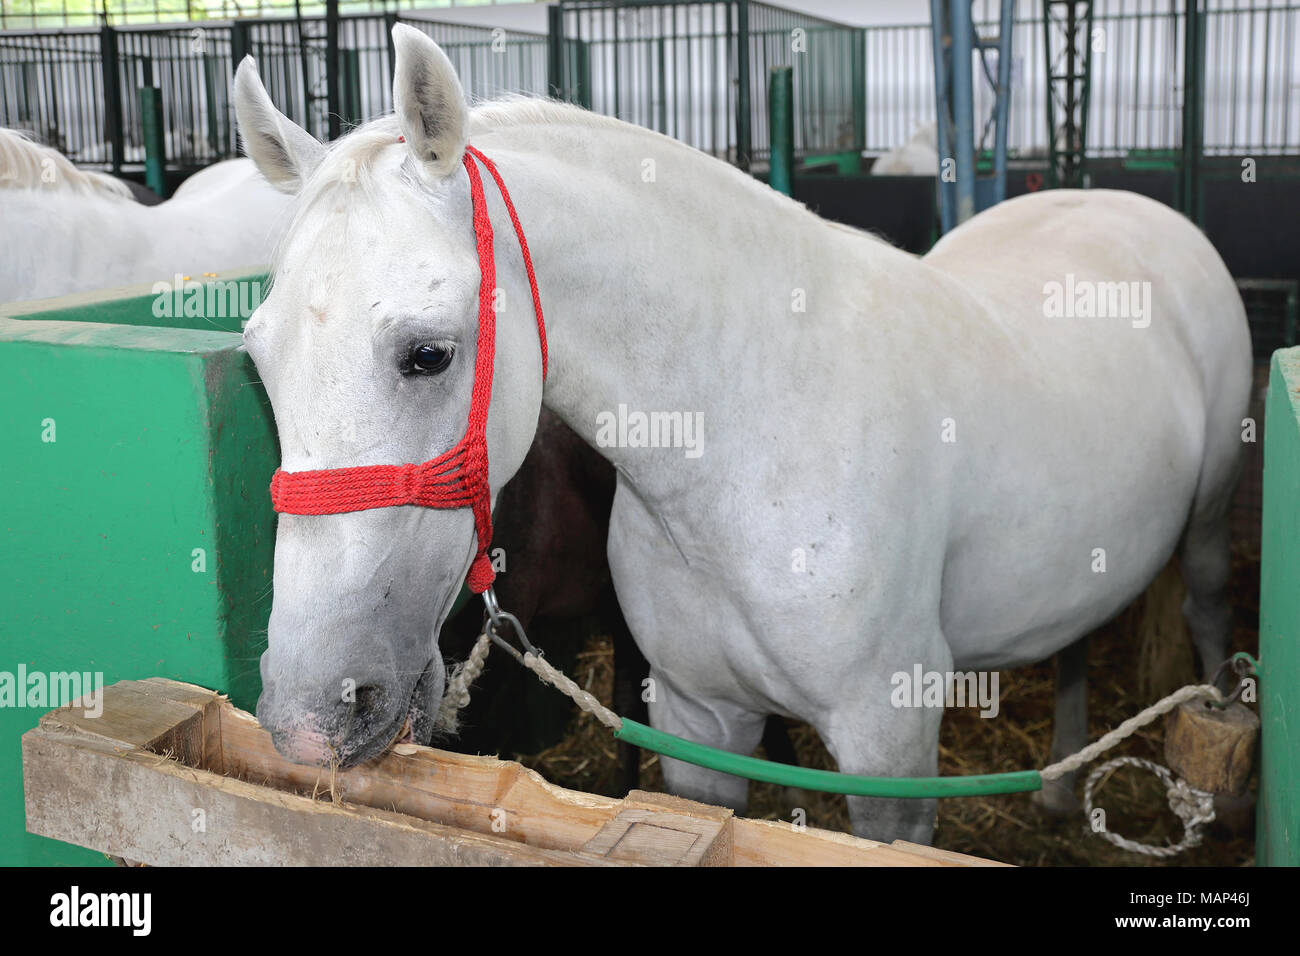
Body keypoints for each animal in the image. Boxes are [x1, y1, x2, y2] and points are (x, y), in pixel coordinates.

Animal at [234, 26, 1251, 844]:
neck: (747, 450)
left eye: (427, 354)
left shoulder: (889, 747)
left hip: (1207, 528)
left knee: (1207, 612)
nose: (309, 714)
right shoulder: (700, 726)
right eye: (257, 355)